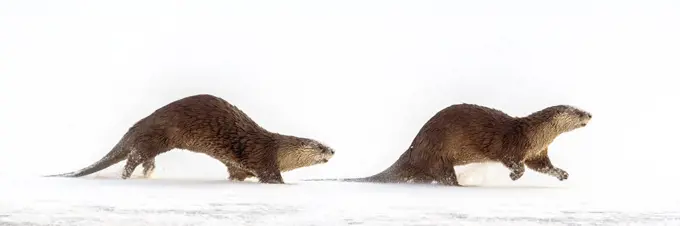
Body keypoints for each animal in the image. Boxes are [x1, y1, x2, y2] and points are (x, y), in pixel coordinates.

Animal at [45, 93, 334, 184]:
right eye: (320, 146)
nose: (333, 151)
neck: (276, 148)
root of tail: (138, 124)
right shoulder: (263, 158)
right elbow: (271, 177)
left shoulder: (238, 166)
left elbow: (237, 174)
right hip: (157, 136)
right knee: (134, 156)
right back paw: (127, 177)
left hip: (153, 141)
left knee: (143, 157)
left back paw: (148, 173)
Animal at [308, 103, 588, 186]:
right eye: (577, 111)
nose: (590, 114)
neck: (534, 135)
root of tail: (413, 150)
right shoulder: (513, 145)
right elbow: (511, 161)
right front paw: (514, 176)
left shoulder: (537, 152)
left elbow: (542, 166)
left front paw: (562, 174)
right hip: (438, 156)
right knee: (445, 177)